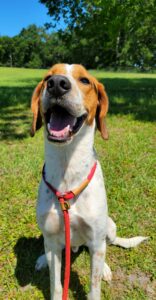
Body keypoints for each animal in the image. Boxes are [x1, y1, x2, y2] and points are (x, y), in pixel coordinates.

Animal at [30, 64, 147, 298]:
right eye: (47, 77)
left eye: (84, 80)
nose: (57, 84)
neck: (67, 168)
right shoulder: (53, 241)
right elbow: (56, 284)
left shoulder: (95, 239)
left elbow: (94, 286)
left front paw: (100, 276)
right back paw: (42, 259)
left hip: (108, 227)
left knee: (106, 247)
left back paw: (106, 269)